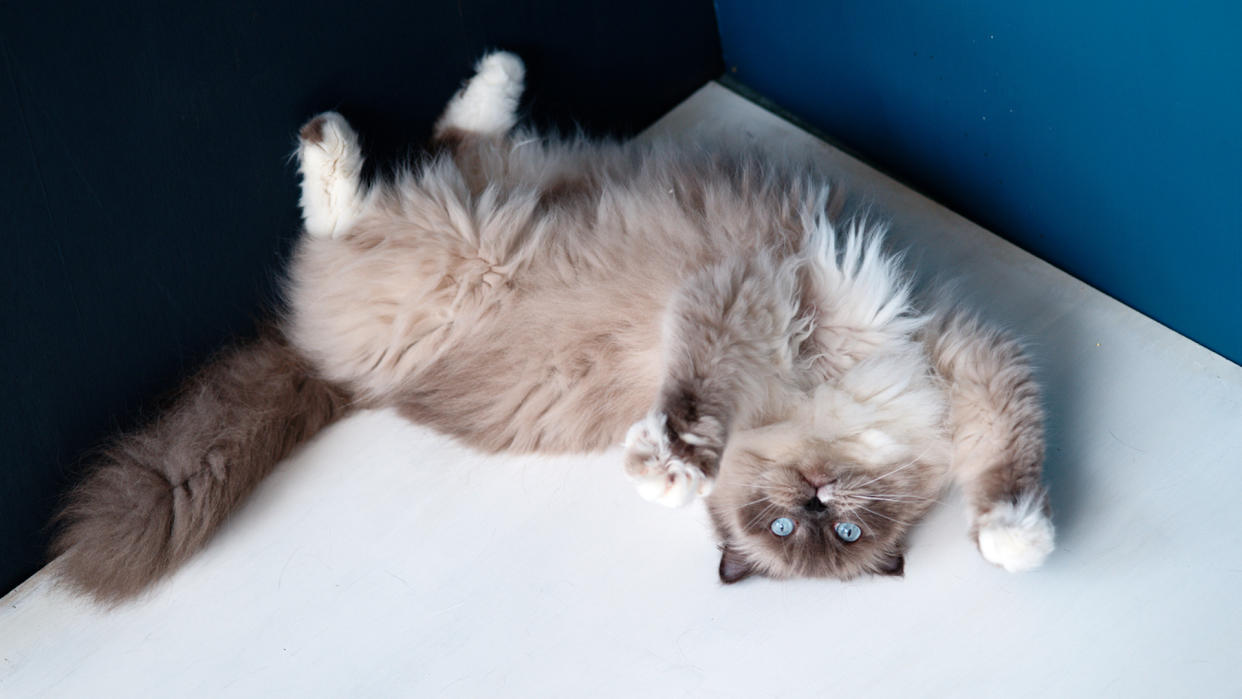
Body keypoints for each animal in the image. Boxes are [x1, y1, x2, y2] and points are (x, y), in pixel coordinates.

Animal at [53, 51, 1053, 603]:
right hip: (464, 239)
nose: (815, 499)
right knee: (367, 192)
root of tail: (318, 366)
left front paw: (1012, 540)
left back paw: (480, 84)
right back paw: (372, 118)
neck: (829, 402)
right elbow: (692, 400)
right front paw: (667, 468)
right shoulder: (760, 300)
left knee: (421, 164)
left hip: (449, 244)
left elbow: (1005, 469)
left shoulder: (962, 371)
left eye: (842, 537)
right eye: (785, 524)